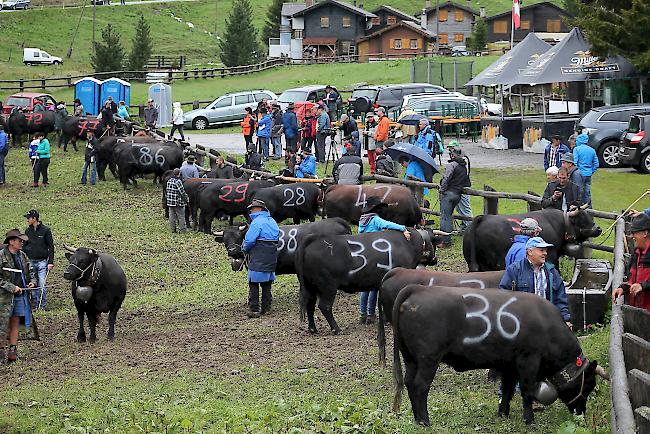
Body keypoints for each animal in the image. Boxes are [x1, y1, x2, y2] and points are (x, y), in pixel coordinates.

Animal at [296, 229, 442, 334]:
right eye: (434, 244)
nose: (435, 260)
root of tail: (315, 239)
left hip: (310, 286)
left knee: (310, 305)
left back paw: (312, 329)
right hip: (328, 287)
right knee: (324, 306)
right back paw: (336, 329)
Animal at [390, 284, 608, 424]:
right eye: (589, 384)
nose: (581, 413)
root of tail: (418, 288)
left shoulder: (509, 364)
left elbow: (508, 388)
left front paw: (503, 413)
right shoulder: (528, 360)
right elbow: (527, 390)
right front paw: (529, 419)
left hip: (410, 358)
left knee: (409, 382)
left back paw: (417, 419)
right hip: (428, 358)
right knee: (420, 386)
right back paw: (425, 421)